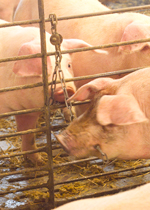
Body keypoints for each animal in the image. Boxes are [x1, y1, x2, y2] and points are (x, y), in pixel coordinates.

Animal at [0, 18, 106, 164]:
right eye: (42, 69)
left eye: (69, 65)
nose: (67, 89)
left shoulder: (27, 111)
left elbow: (28, 134)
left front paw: (38, 161)